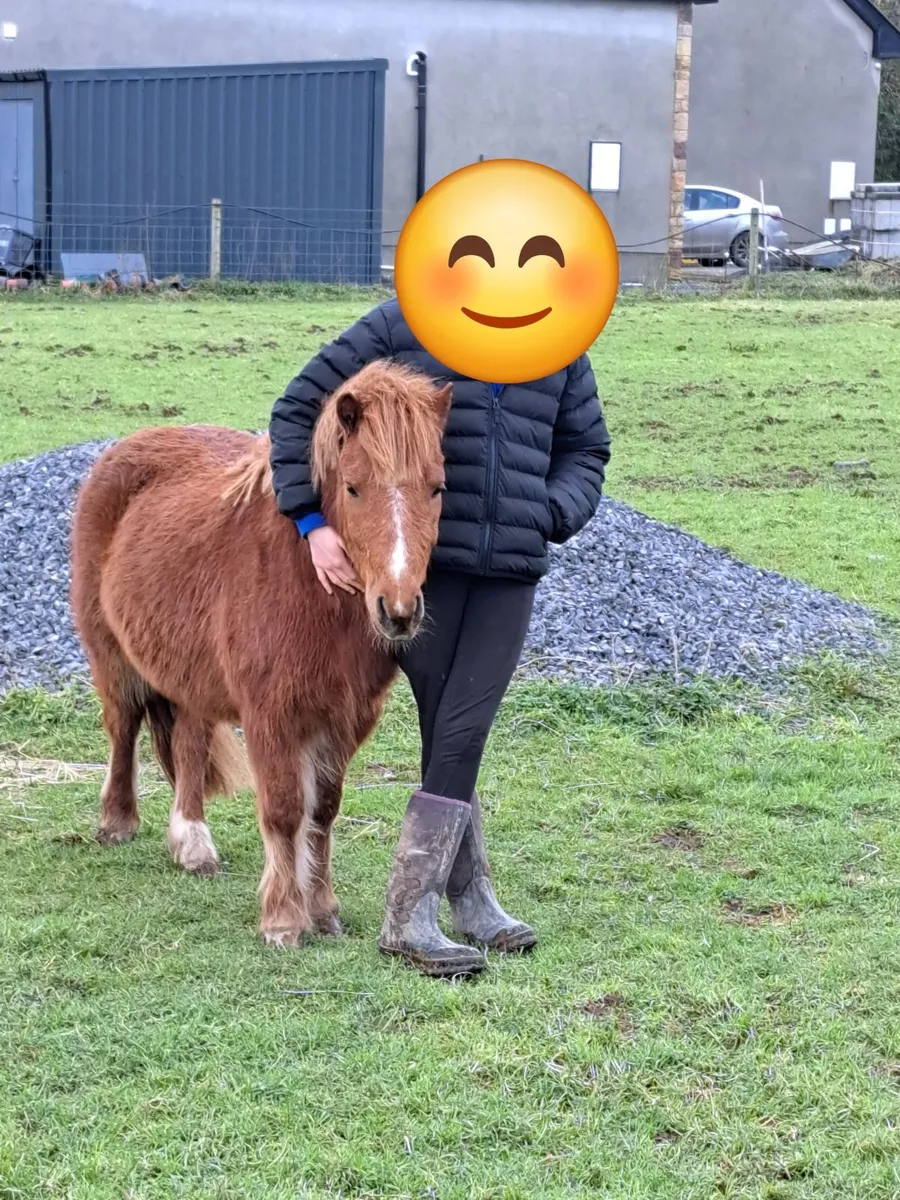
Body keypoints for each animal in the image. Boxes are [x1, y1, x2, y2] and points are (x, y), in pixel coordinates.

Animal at [70, 360, 452, 947]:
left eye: (436, 489)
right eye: (353, 488)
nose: (398, 610)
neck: (310, 587)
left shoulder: (344, 719)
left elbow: (323, 812)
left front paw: (322, 909)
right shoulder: (270, 715)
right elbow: (283, 810)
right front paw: (283, 919)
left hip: (192, 676)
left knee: (188, 745)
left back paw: (193, 845)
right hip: (112, 658)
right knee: (123, 728)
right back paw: (117, 822)